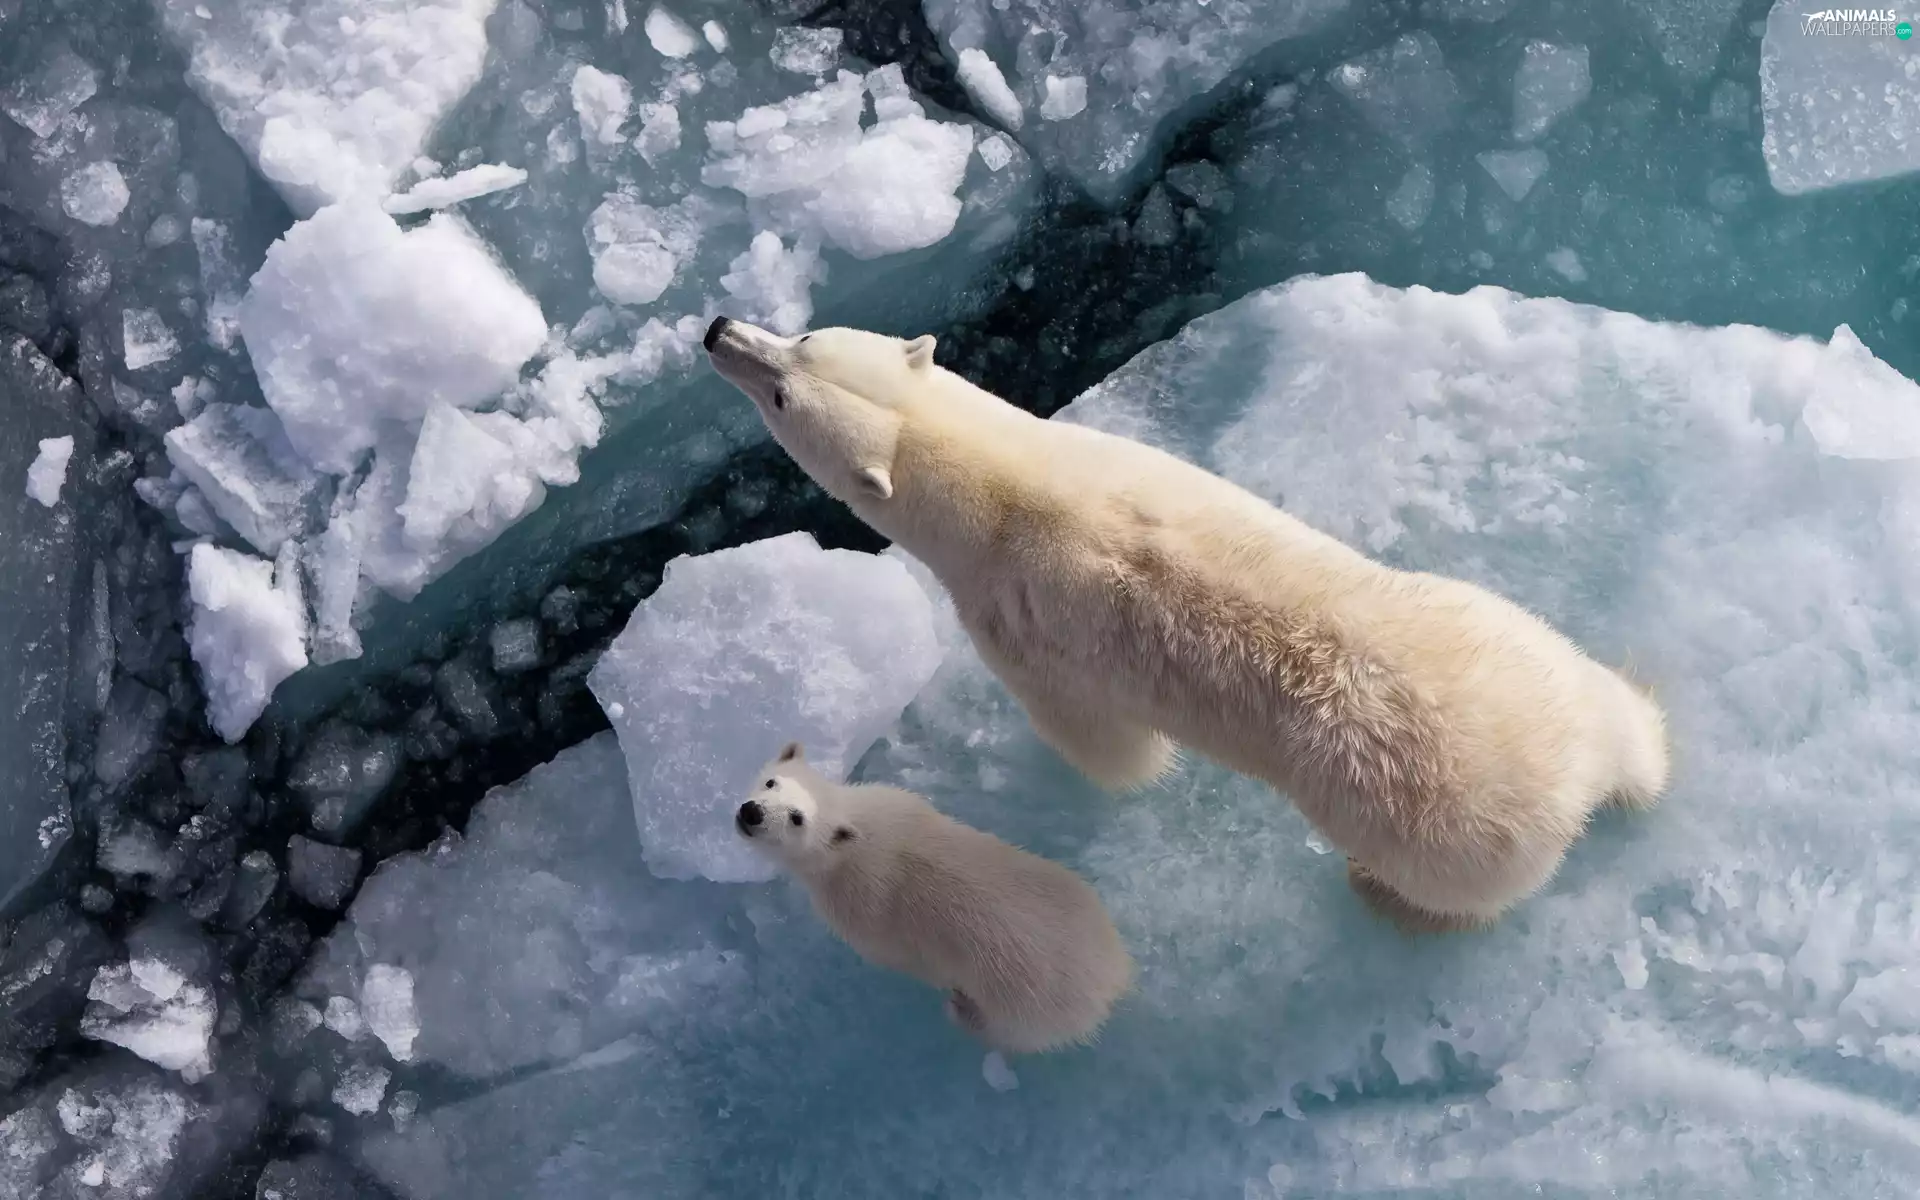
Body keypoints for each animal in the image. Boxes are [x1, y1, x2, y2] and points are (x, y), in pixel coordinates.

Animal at [703, 315, 1673, 933]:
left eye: (785, 388)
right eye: (804, 342)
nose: (717, 330)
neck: (1009, 487)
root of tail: (1571, 776)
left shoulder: (1017, 622)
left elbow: (1102, 744)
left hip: (1439, 828)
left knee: (1452, 887)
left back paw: (1381, 894)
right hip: (1510, 636)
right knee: (1614, 705)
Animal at [735, 741, 1133, 1055]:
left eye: (797, 818)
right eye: (772, 782)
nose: (751, 812)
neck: (858, 837)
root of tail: (1113, 978)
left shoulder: (859, 909)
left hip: (1028, 1004)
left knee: (1009, 1033)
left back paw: (960, 1010)